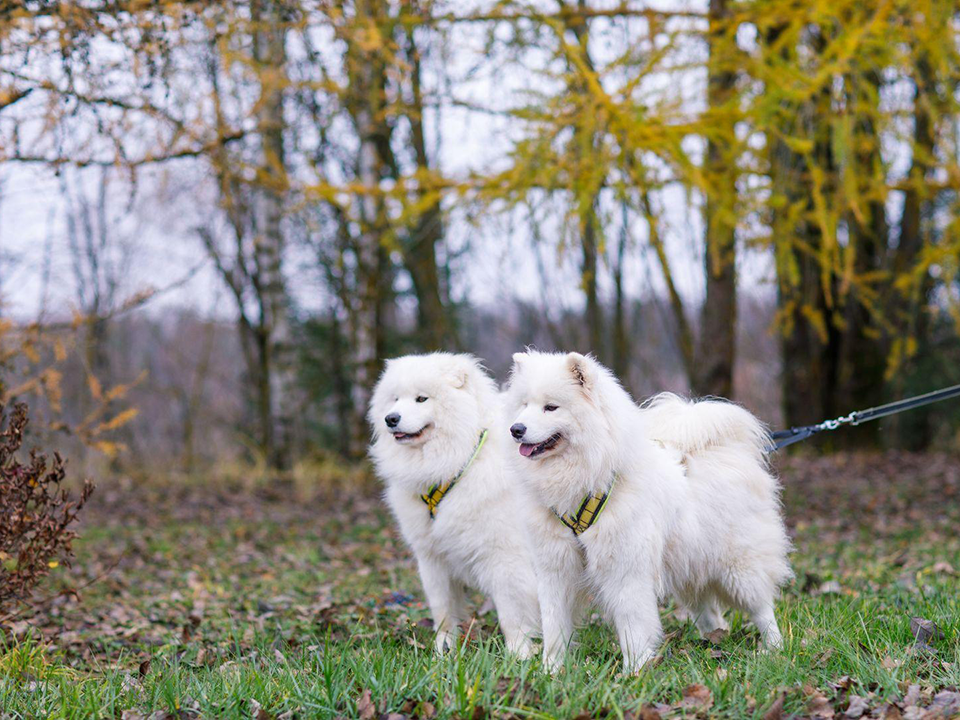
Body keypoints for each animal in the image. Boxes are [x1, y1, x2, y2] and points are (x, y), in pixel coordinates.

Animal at [506, 352, 792, 672]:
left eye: (551, 407)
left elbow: (632, 624)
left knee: (763, 608)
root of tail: (728, 452)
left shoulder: (625, 568)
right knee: (710, 613)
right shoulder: (554, 568)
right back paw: (713, 642)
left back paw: (773, 650)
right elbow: (554, 625)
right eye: (524, 405)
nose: (516, 429)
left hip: (739, 568)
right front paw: (550, 670)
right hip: (690, 568)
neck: (586, 480)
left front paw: (634, 671)